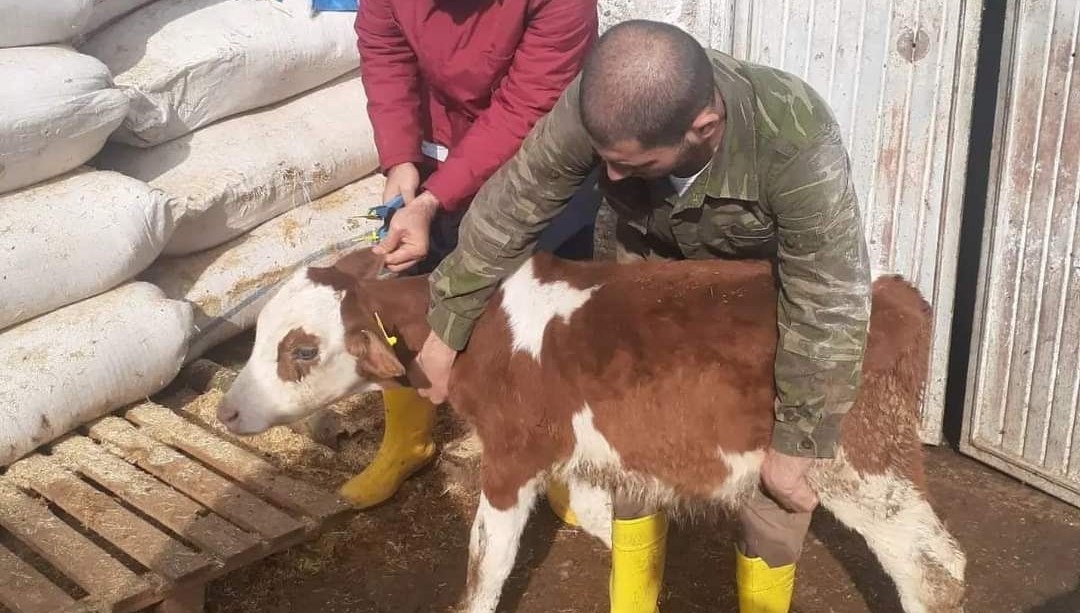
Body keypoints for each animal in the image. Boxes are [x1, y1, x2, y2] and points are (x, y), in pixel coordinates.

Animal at [214, 247, 967, 608]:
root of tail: (892, 292)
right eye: (260, 337)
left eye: (301, 350)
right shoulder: (584, 454)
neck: (475, 329)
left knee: (934, 566)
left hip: (865, 465)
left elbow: (486, 562)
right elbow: (618, 528)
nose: (226, 410)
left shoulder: (511, 457)